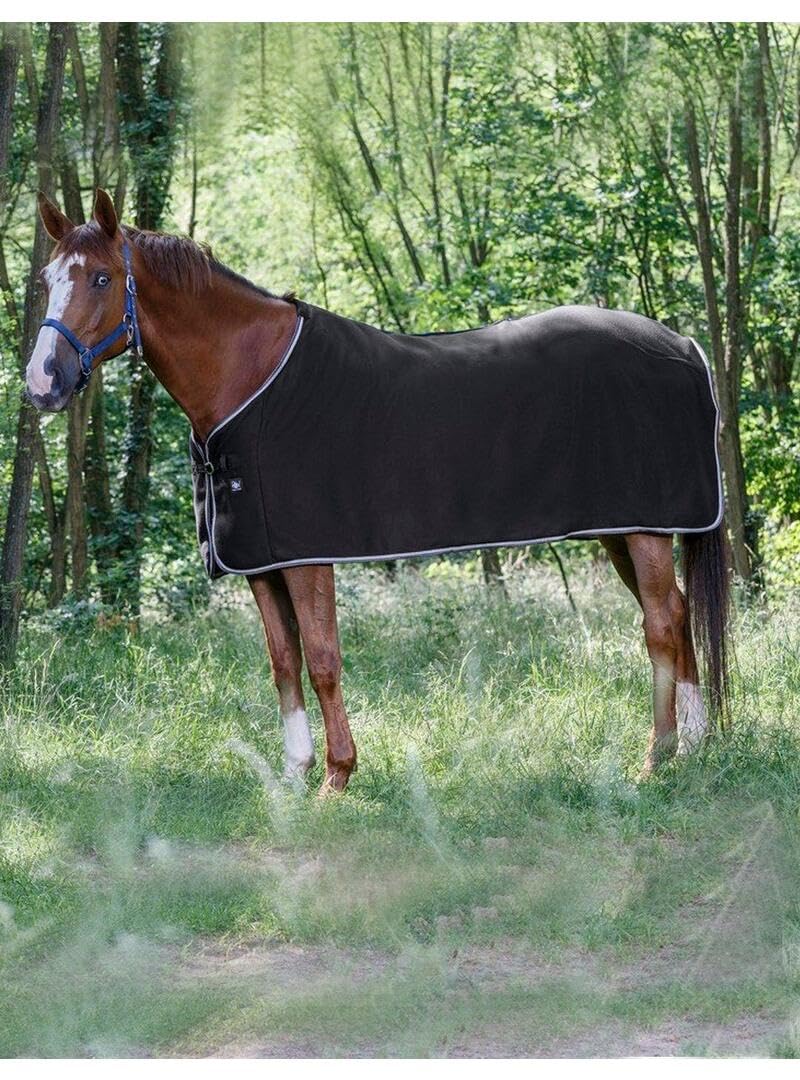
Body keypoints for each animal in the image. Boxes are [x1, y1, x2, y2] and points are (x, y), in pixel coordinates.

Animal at [26, 189, 730, 792]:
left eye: (101, 278)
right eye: (46, 280)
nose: (41, 382)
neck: (249, 376)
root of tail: (684, 345)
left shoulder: (307, 558)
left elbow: (322, 659)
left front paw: (337, 776)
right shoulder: (261, 560)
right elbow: (283, 662)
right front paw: (294, 773)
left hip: (643, 527)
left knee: (661, 623)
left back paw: (657, 756)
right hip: (620, 528)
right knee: (677, 613)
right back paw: (697, 745)